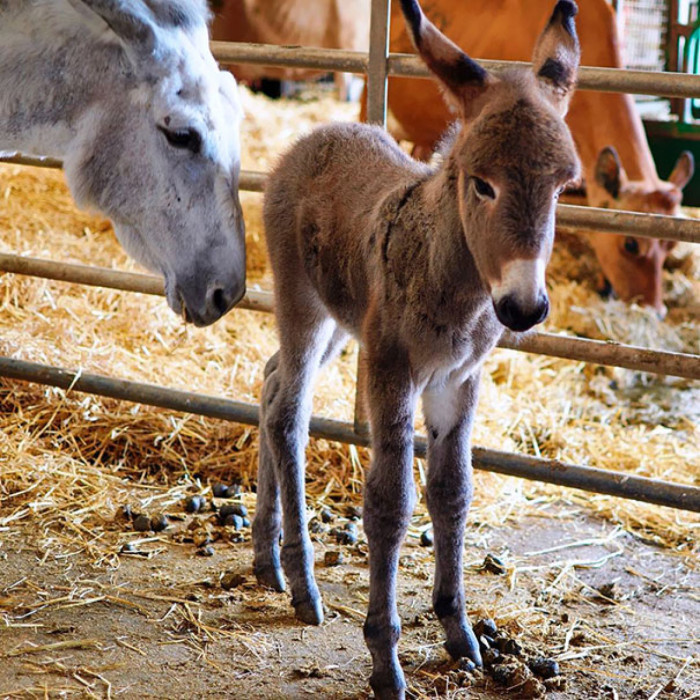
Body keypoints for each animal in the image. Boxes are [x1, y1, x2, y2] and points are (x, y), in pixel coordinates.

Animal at [254, 1, 584, 696]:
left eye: (562, 188)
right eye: (482, 185)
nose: (523, 307)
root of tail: (320, 134)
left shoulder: (460, 379)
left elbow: (452, 491)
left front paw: (458, 632)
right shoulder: (391, 369)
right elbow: (390, 503)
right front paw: (385, 658)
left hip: (338, 322)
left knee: (270, 383)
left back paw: (266, 560)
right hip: (302, 304)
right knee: (288, 414)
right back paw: (302, 582)